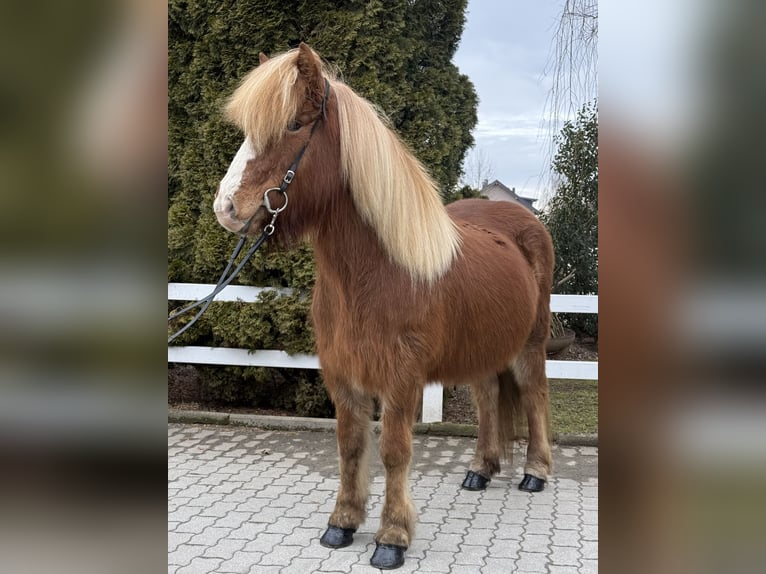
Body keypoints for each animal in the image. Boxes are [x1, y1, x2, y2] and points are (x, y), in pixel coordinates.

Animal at [213, 43, 554, 570]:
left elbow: (394, 450)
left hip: (529, 346)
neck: (376, 273)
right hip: (481, 349)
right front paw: (342, 523)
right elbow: (351, 446)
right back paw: (480, 469)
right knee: (488, 400)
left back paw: (535, 472)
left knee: (534, 395)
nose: (227, 209)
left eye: (293, 124)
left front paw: (392, 537)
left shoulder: (401, 378)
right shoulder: (341, 374)